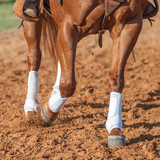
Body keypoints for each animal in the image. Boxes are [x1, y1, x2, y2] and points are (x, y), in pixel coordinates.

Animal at [22, 0, 159, 148]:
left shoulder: (130, 23)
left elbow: (116, 78)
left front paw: (114, 128)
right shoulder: (68, 25)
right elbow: (68, 84)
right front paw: (48, 112)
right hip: (35, 20)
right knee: (34, 56)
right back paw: (31, 105)